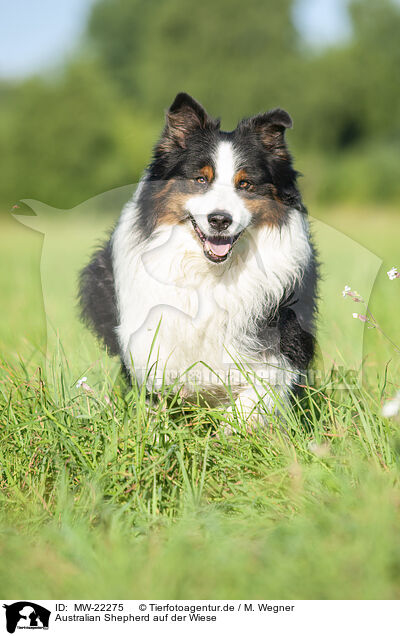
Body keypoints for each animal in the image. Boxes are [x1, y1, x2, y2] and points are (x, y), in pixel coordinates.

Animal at [79, 92, 318, 424]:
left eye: (245, 184)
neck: (211, 271)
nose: (220, 220)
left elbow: (260, 390)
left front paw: (234, 427)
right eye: (201, 180)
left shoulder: (280, 332)